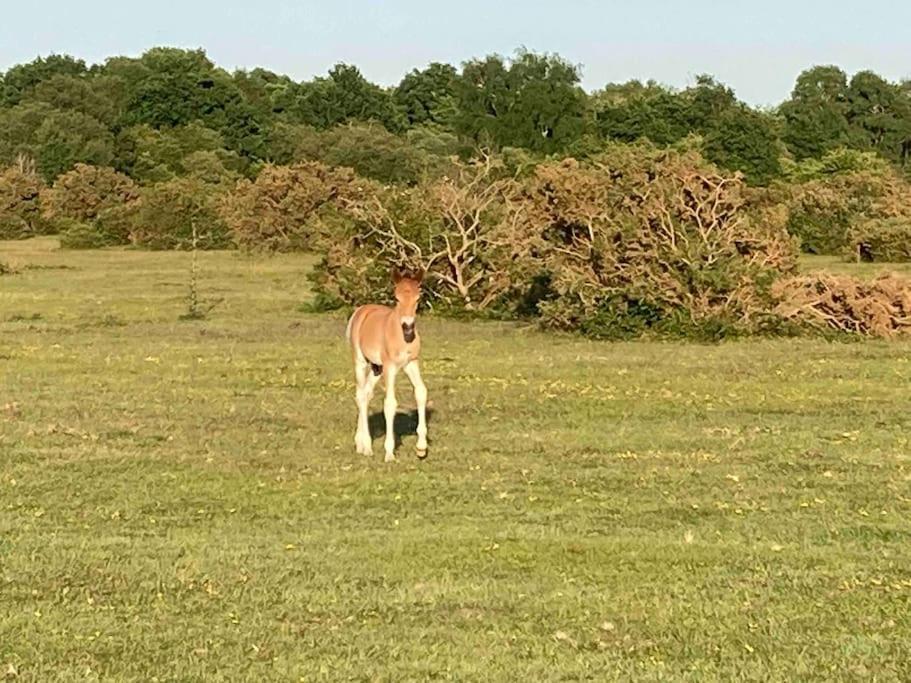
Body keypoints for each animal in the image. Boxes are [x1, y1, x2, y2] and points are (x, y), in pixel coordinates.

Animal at [348, 270, 430, 462]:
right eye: (396, 298)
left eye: (417, 298)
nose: (408, 325)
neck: (402, 337)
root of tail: (362, 310)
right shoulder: (390, 367)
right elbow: (390, 403)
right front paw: (389, 453)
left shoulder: (411, 363)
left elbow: (421, 392)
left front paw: (421, 448)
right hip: (361, 362)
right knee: (360, 395)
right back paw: (366, 446)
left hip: (377, 368)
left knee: (366, 394)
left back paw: (361, 443)